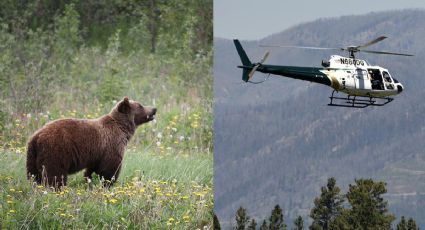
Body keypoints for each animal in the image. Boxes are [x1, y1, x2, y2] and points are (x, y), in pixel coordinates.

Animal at [25, 96, 154, 188]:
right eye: (140, 105)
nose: (154, 109)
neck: (122, 128)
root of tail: (37, 137)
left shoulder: (97, 153)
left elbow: (92, 170)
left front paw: (89, 181)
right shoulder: (112, 144)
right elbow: (110, 168)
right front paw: (108, 183)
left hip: (32, 156)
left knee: (33, 175)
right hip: (56, 150)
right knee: (55, 174)